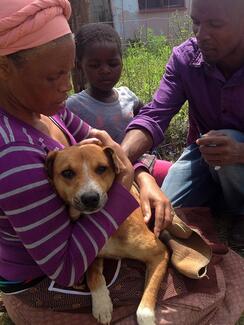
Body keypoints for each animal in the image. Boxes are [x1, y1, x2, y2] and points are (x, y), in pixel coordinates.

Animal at [45, 143, 169, 324]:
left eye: (102, 168)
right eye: (67, 173)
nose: (90, 198)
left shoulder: (159, 253)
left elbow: (148, 297)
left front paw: (146, 319)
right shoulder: (90, 254)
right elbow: (93, 275)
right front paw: (102, 304)